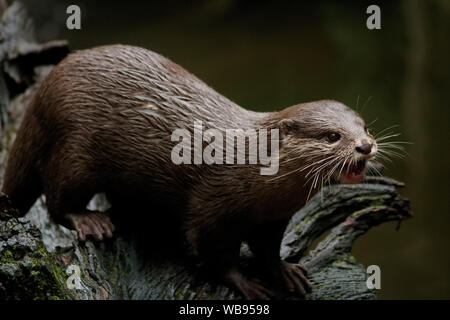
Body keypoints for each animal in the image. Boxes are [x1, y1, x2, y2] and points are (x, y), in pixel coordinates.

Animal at [1, 45, 378, 300]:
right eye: (332, 136)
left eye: (364, 126)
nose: (365, 146)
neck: (255, 171)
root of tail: (46, 88)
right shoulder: (212, 205)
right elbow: (212, 251)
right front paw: (246, 283)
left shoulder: (274, 219)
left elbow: (268, 249)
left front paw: (284, 272)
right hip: (76, 150)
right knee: (57, 199)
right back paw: (91, 221)